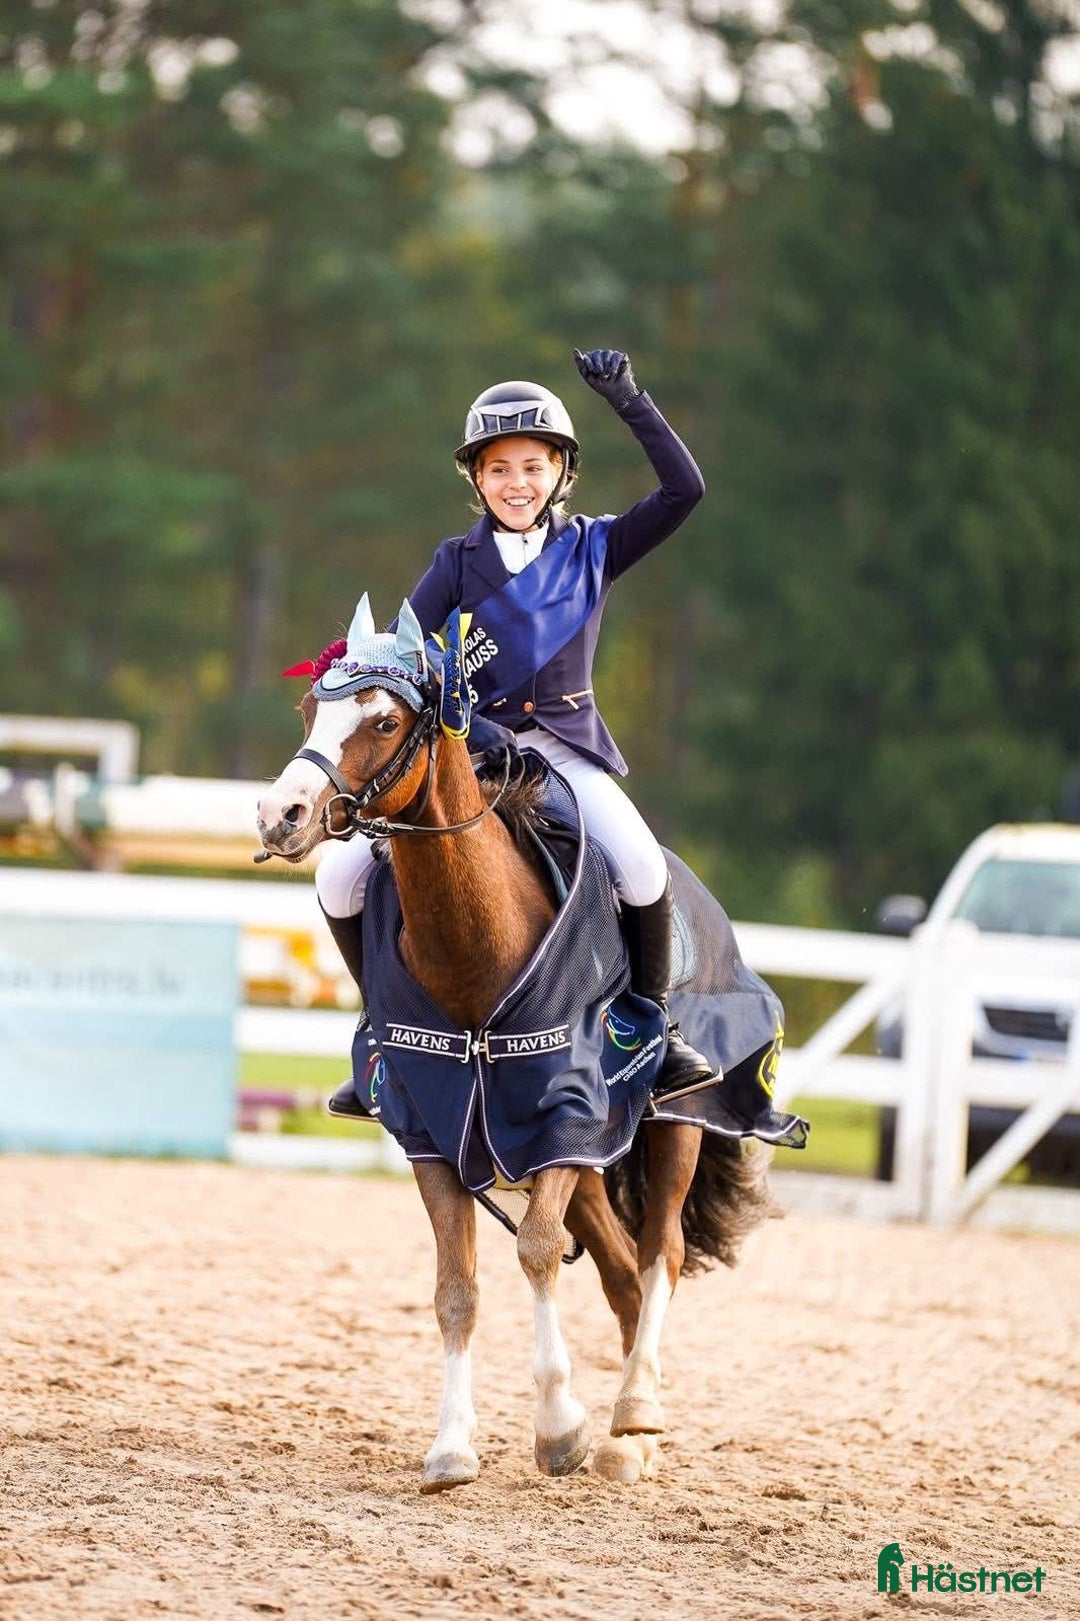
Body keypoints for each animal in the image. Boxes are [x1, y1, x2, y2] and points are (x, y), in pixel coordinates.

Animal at [256, 595, 803, 1491]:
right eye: (310, 709)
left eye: (383, 720)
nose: (281, 816)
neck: (474, 948)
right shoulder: (440, 1135)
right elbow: (457, 1287)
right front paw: (452, 1444)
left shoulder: (568, 1120)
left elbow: (540, 1251)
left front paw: (559, 1425)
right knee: (619, 1273)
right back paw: (629, 1440)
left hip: (674, 1125)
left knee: (659, 1253)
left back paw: (635, 1410)